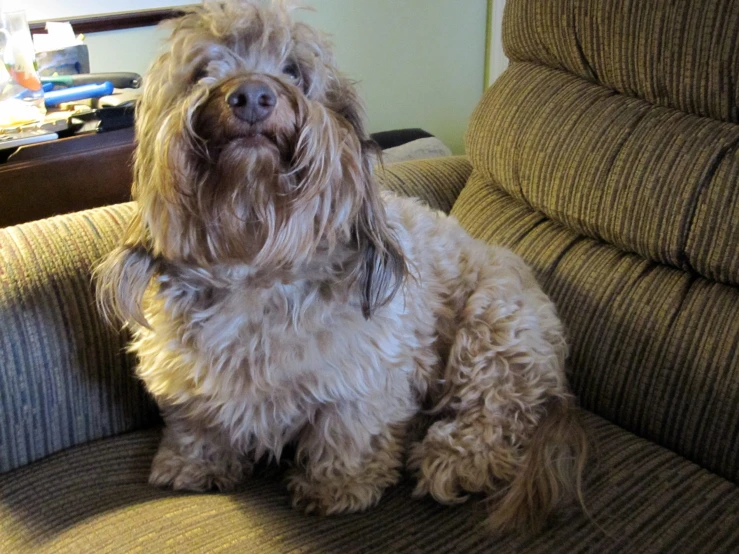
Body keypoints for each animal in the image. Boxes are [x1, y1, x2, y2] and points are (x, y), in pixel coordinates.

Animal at [95, 0, 588, 532]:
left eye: (294, 70)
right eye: (203, 71)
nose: (251, 96)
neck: (254, 259)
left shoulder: (369, 375)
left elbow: (347, 432)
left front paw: (336, 487)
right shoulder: (184, 375)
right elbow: (196, 422)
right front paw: (193, 464)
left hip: (494, 327)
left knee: (497, 412)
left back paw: (455, 460)